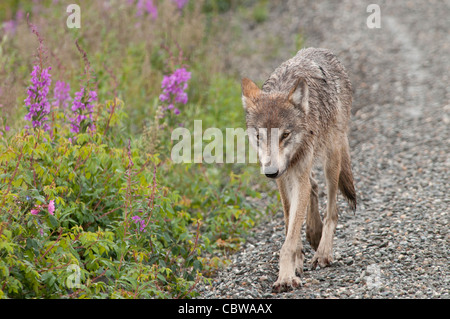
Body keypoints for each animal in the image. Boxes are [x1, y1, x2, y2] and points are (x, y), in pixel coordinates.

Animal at [241, 46, 356, 294]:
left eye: (285, 134)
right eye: (259, 136)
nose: (270, 172)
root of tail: (322, 50)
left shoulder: (296, 174)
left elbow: (290, 237)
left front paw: (285, 277)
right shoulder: (283, 179)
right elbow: (289, 226)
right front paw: (295, 264)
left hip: (332, 159)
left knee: (332, 210)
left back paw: (323, 253)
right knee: (313, 187)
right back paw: (313, 234)